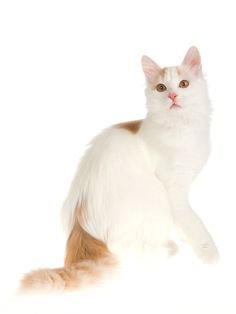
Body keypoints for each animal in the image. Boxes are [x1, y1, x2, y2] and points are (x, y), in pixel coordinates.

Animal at [21, 46, 219, 292]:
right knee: (126, 248)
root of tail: (81, 224)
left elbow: (184, 222)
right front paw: (209, 252)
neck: (180, 127)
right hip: (153, 197)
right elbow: (193, 222)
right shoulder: (173, 190)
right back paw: (169, 248)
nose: (172, 96)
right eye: (161, 88)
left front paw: (186, 236)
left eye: (183, 84)